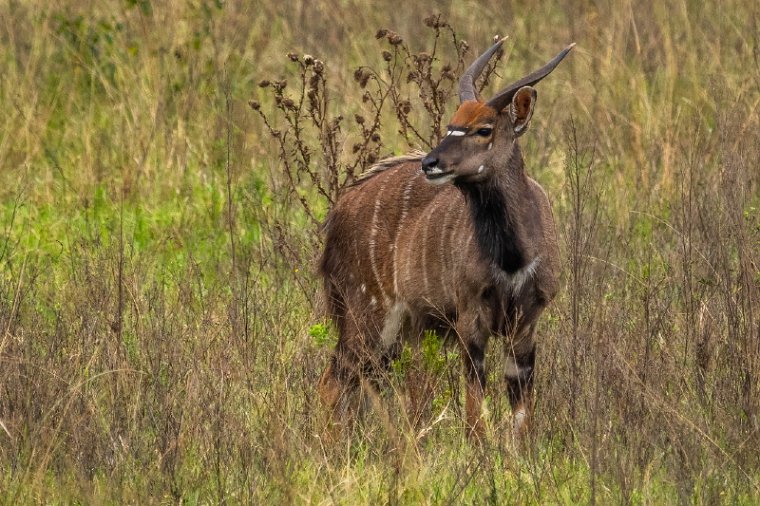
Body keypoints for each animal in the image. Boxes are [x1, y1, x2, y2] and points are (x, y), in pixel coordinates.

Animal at [318, 38, 572, 438]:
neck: (512, 256)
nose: (430, 163)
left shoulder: (527, 321)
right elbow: (474, 412)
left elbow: (520, 416)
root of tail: (337, 213)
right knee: (332, 384)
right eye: (452, 124)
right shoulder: (470, 316)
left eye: (483, 129)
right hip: (369, 315)